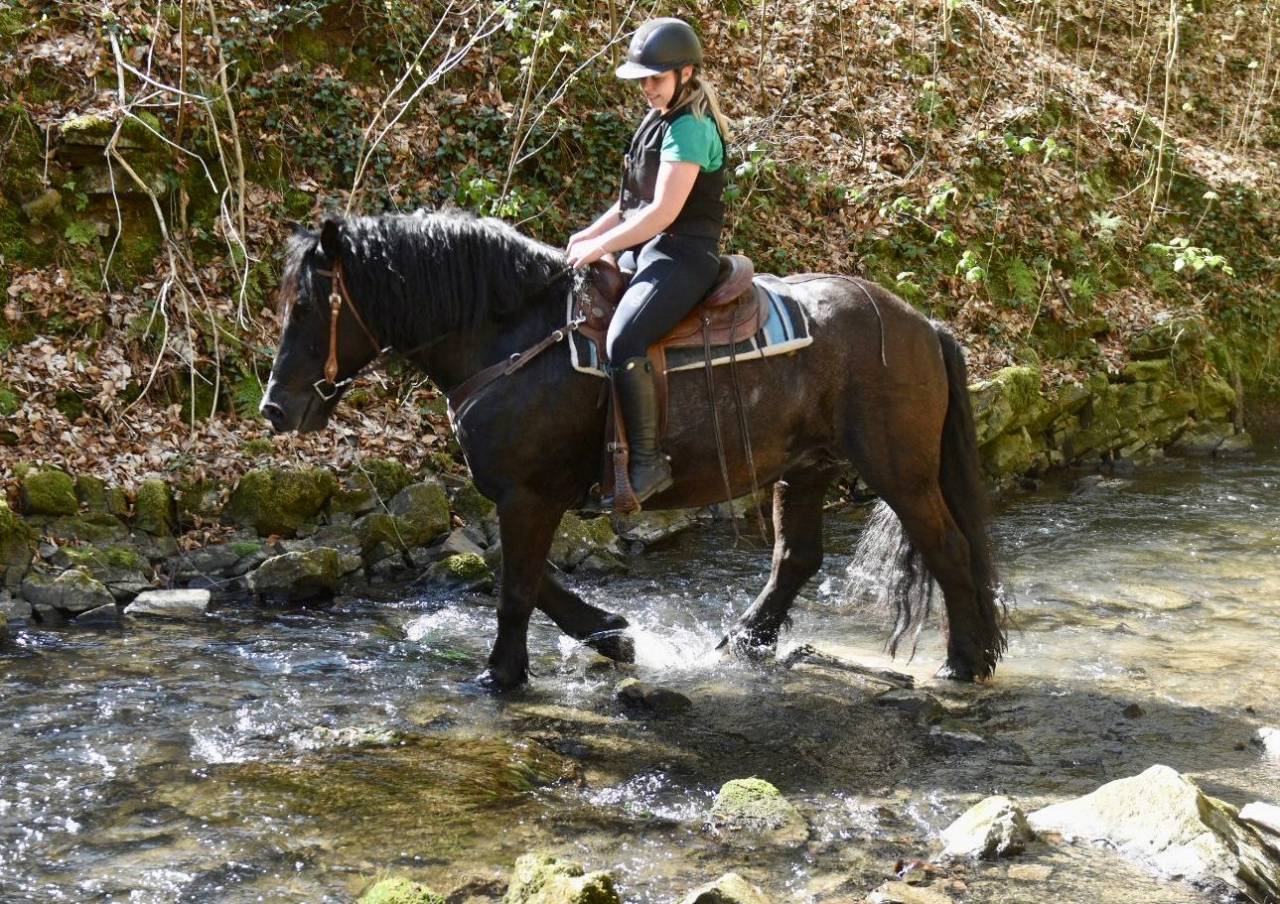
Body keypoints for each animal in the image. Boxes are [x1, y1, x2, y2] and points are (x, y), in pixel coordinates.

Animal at [260, 210, 1005, 690]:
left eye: (312, 303)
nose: (275, 408)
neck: (513, 340)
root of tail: (921, 322)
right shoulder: (521, 498)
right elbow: (515, 572)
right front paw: (612, 634)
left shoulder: (529, 495)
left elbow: (515, 585)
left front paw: (502, 674)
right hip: (805, 467)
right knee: (797, 557)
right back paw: (741, 641)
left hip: (899, 470)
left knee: (945, 546)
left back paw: (963, 662)